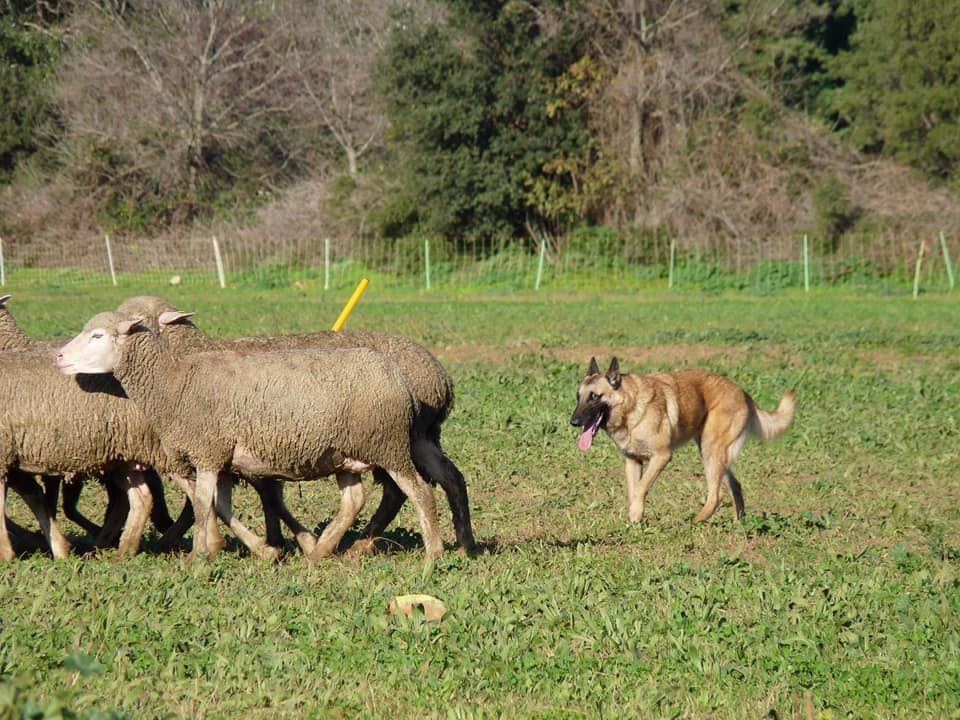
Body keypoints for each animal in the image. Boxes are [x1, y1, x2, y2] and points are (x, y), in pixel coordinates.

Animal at [60, 312, 446, 564]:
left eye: (97, 336)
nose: (60, 355)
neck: (173, 382)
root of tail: (395, 373)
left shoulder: (207, 452)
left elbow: (202, 504)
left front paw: (198, 557)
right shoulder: (223, 460)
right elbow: (220, 506)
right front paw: (261, 550)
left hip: (389, 446)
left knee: (420, 493)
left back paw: (433, 554)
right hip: (345, 455)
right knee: (354, 501)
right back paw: (320, 551)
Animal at [568, 358, 796, 524]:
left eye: (594, 396)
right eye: (578, 397)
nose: (573, 422)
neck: (631, 408)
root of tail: (743, 392)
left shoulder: (661, 456)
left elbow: (641, 487)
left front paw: (635, 515)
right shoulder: (633, 461)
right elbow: (634, 491)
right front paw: (635, 516)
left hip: (711, 450)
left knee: (716, 496)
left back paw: (695, 522)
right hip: (714, 455)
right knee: (735, 486)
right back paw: (739, 523)